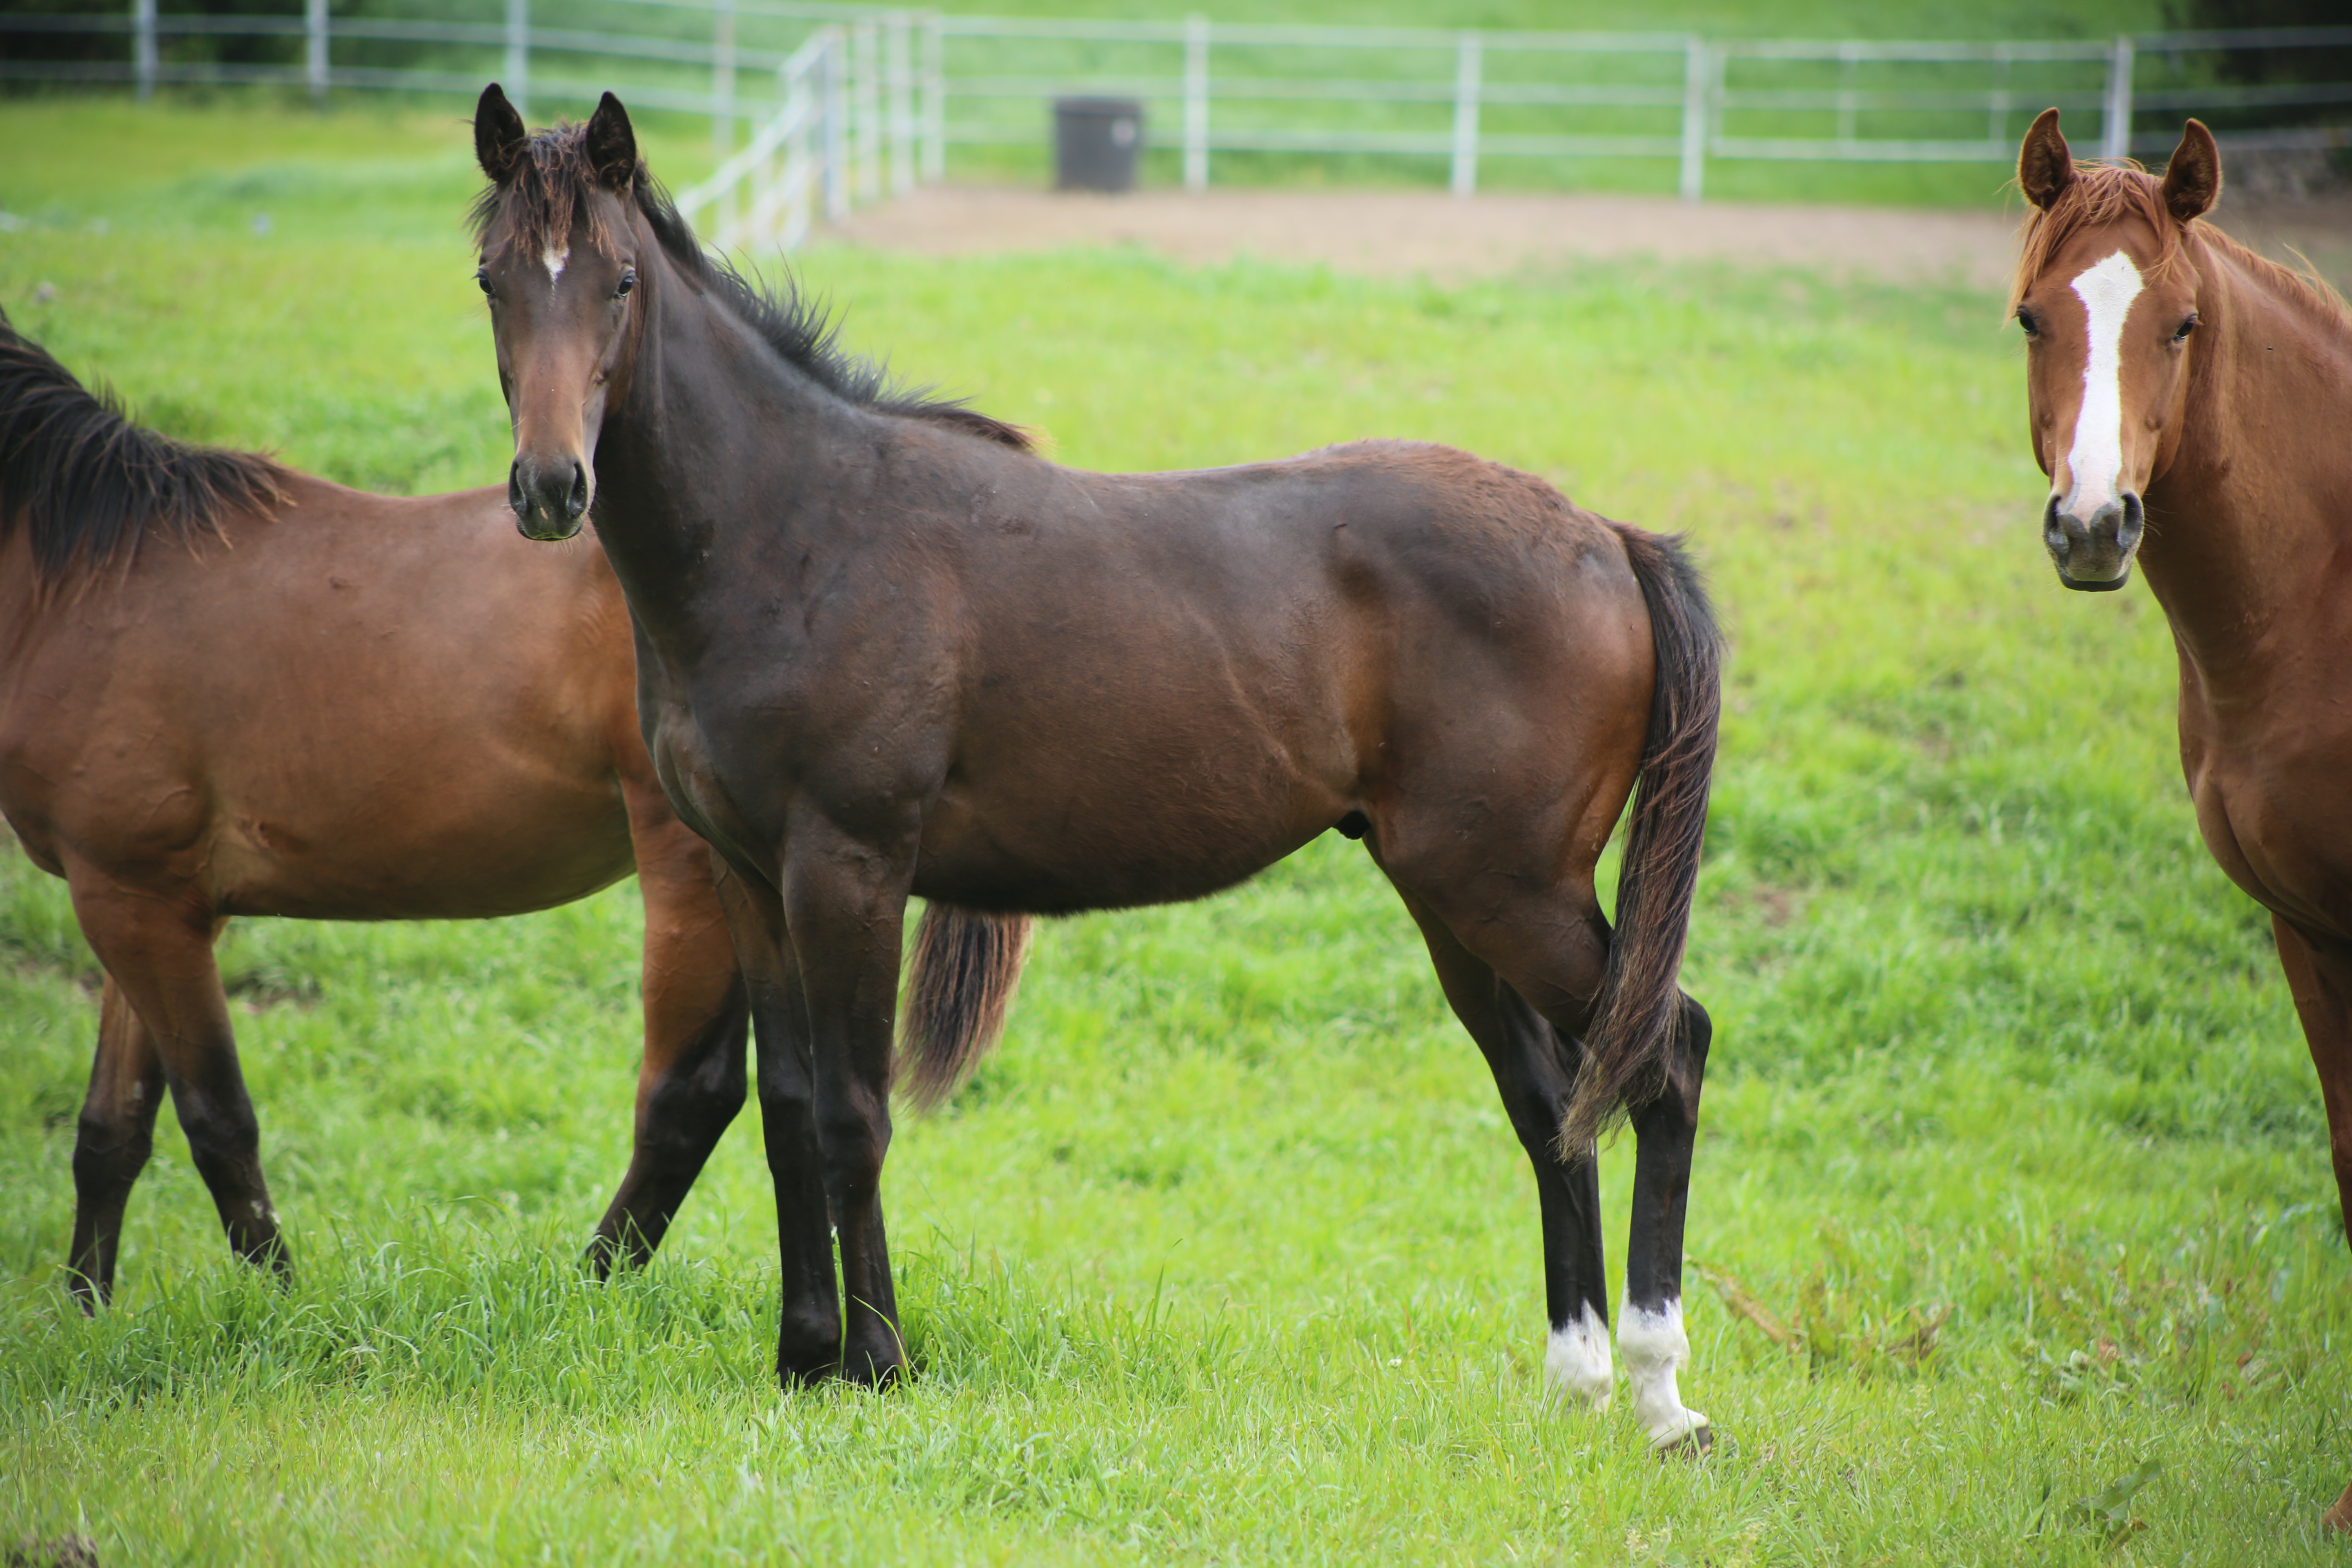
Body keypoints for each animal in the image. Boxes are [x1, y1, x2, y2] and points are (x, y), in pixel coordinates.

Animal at [0, 305, 1020, 1297]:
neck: (92, 571)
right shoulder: (152, 902)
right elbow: (113, 1130)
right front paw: (86, 1310)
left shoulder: (129, 896)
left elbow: (217, 1122)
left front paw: (280, 1307)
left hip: (694, 873)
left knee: (687, 1094)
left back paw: (588, 1295)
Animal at [468, 86, 1722, 1448]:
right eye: (493, 279)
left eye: (619, 279)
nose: (551, 487)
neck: (796, 533)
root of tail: (1606, 538)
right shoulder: (750, 878)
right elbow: (791, 1108)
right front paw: (802, 1360)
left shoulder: (850, 871)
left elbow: (855, 1114)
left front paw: (878, 1363)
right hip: (1457, 904)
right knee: (1554, 1105)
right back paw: (1578, 1377)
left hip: (1513, 896)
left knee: (1666, 1056)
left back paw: (1662, 1392)